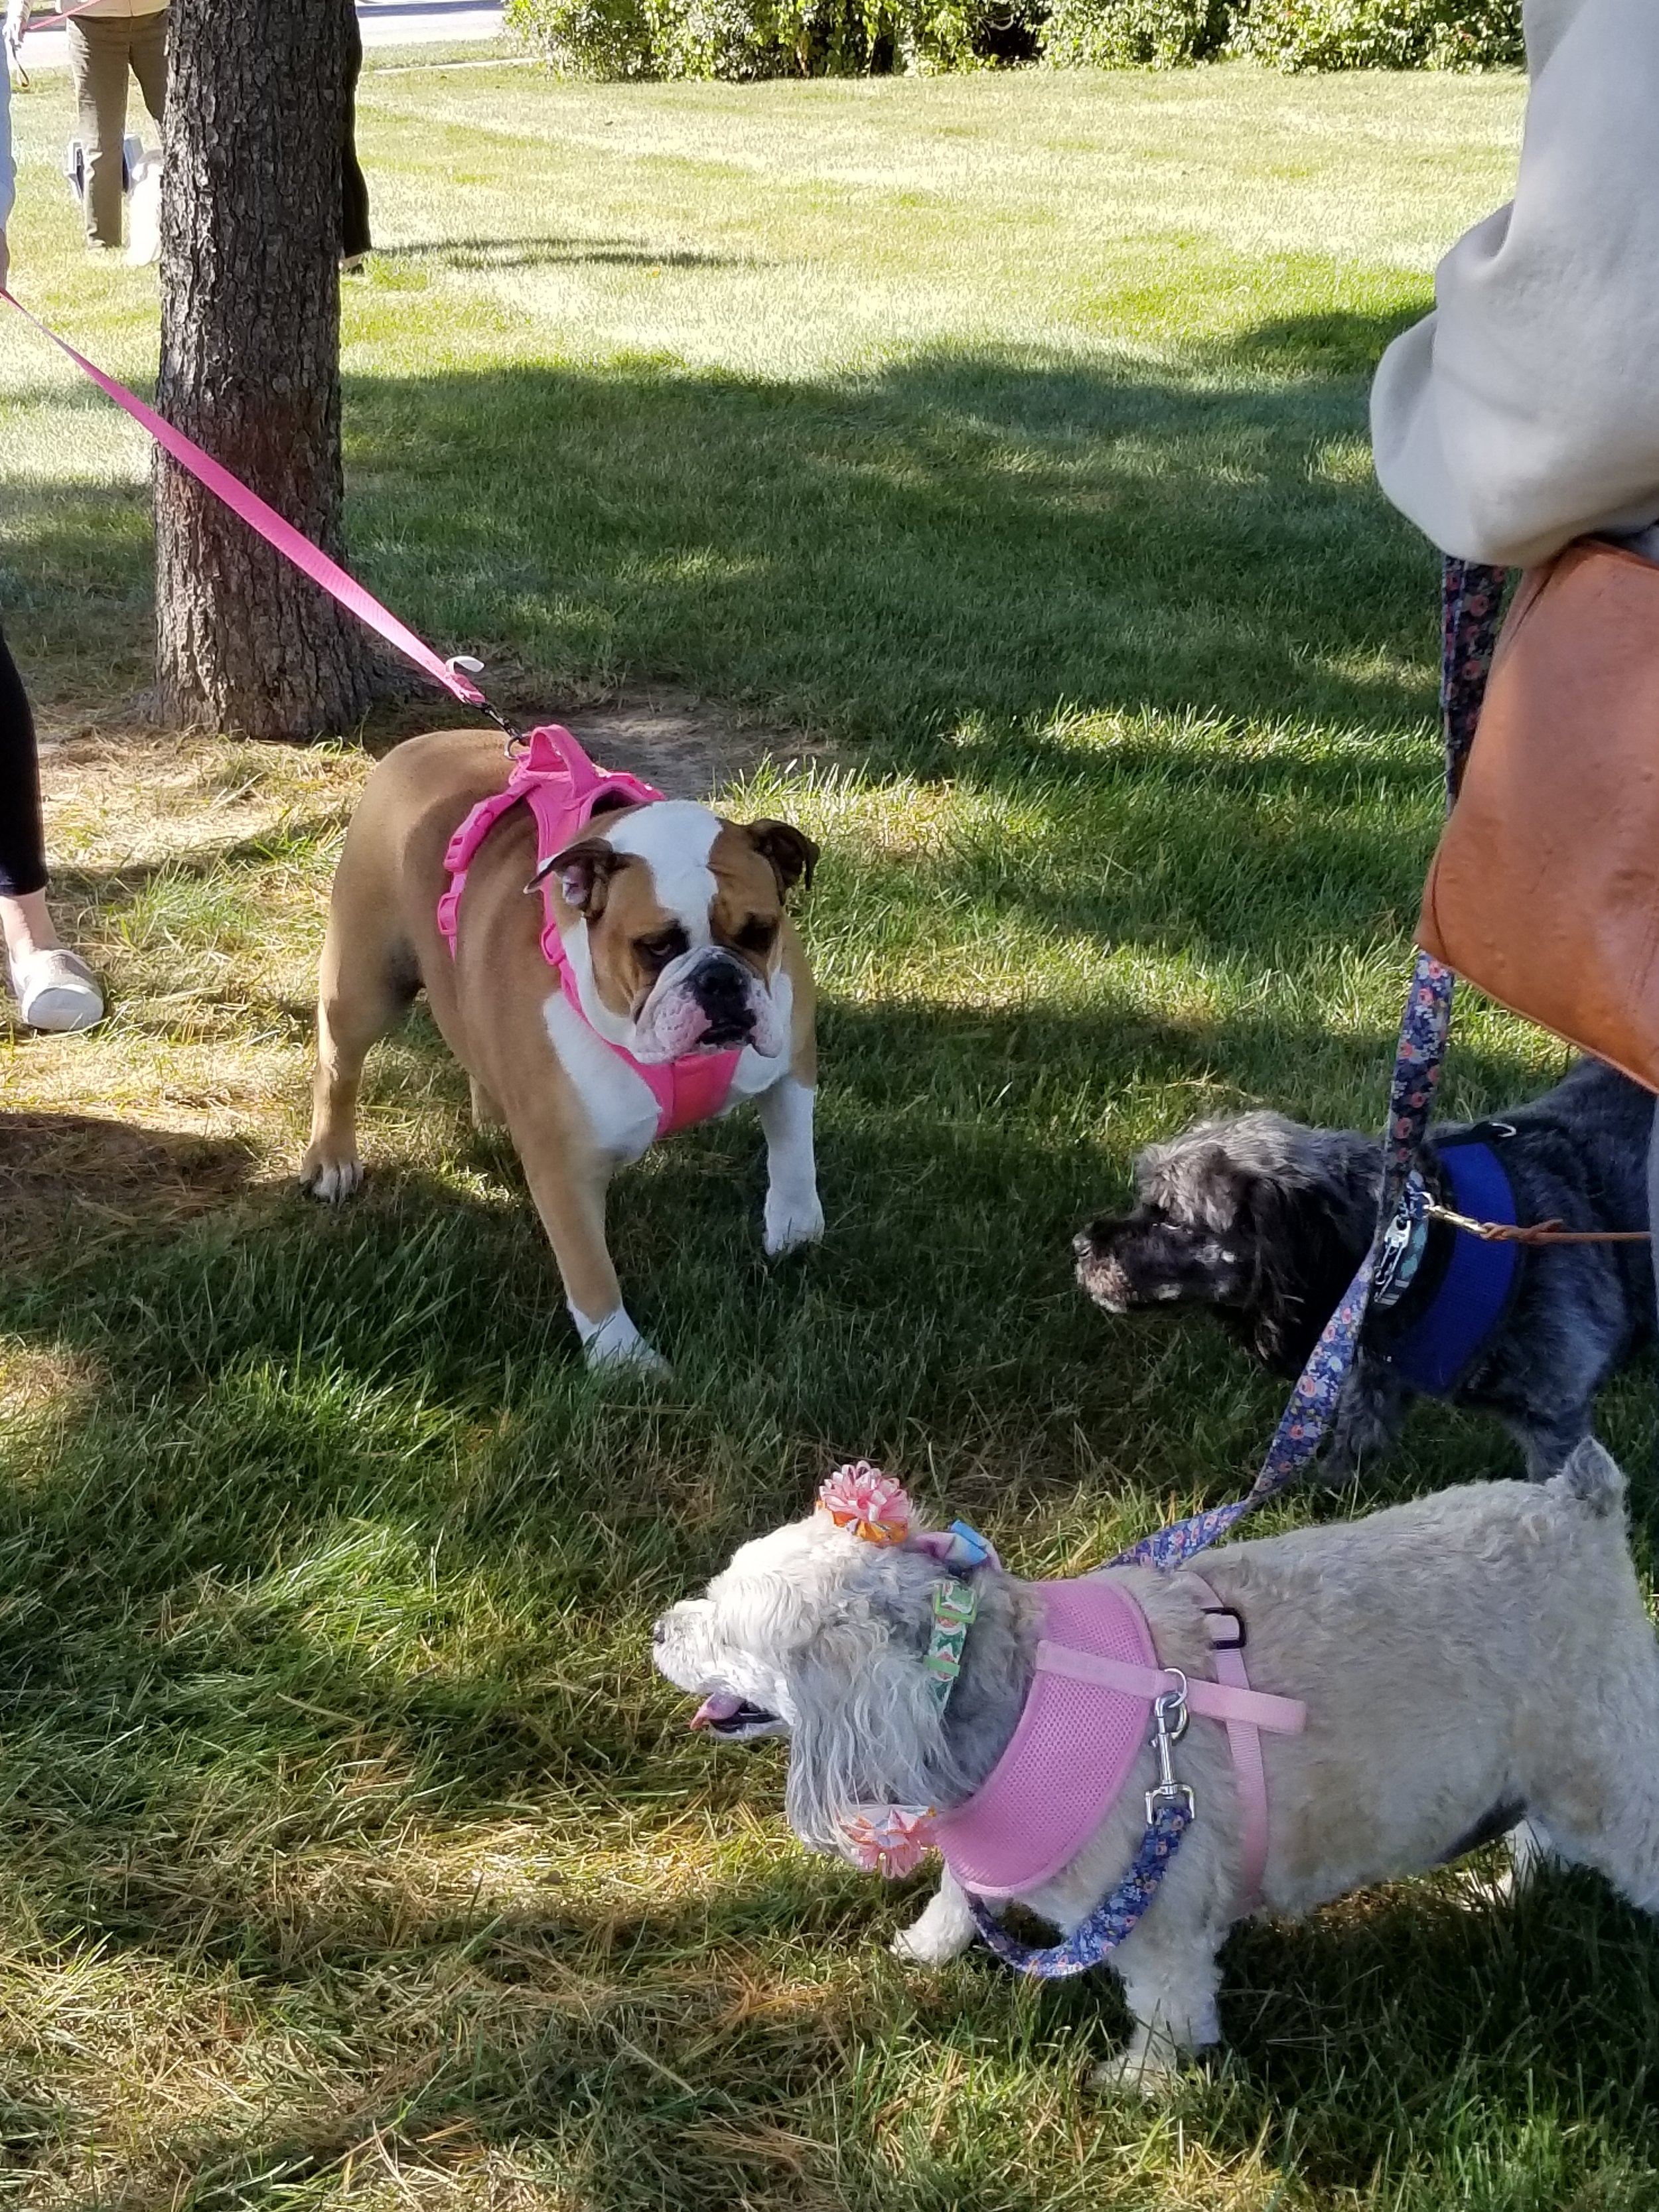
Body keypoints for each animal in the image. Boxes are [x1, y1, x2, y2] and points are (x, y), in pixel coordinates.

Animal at [654, 1451, 1659, 2088]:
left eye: (730, 1632)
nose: (661, 1628)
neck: (1007, 1683)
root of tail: (1579, 1508)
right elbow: (954, 1894)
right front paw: (926, 1948)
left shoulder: (1156, 1914)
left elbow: (1171, 2006)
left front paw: (1144, 2080)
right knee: (1539, 1834)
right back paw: (1506, 1889)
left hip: (1609, 1770)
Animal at [1070, 1057, 1654, 1477]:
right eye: (1143, 1201)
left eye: (1170, 1217)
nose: (1079, 1244)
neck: (1420, 1245)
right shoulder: (1375, 1379)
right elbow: (1353, 1444)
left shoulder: (1556, 1420)